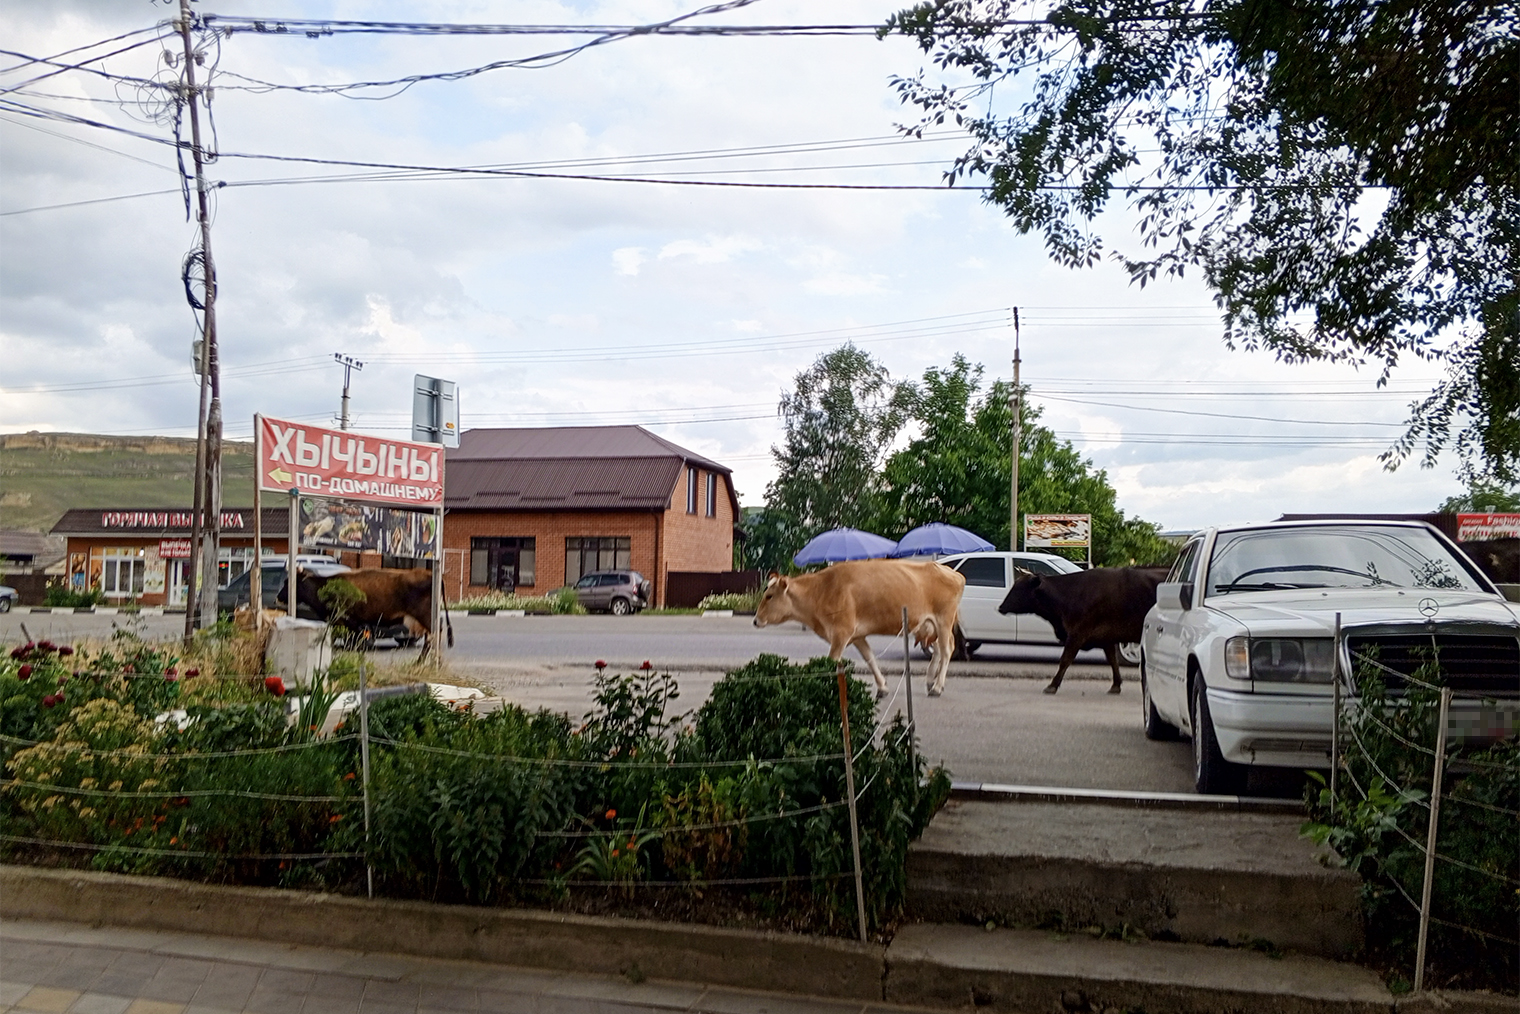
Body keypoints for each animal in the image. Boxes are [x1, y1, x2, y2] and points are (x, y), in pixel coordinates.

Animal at [285, 568, 449, 653]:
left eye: (288, 582)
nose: (280, 596)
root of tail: (428, 573)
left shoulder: (347, 620)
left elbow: (351, 640)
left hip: (426, 617)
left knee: (434, 635)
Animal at [753, 562, 966, 699]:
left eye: (769, 596)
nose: (755, 620)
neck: (821, 590)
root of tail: (951, 571)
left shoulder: (841, 633)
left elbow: (831, 661)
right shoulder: (857, 635)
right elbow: (869, 658)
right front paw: (882, 687)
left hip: (943, 620)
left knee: (947, 650)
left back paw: (937, 687)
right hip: (929, 625)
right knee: (938, 649)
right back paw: (931, 681)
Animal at [997, 568, 1161, 693]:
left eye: (1019, 588)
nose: (1001, 607)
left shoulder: (1077, 634)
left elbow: (1065, 660)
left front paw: (1052, 685)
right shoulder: (1106, 636)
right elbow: (1112, 661)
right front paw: (1116, 685)